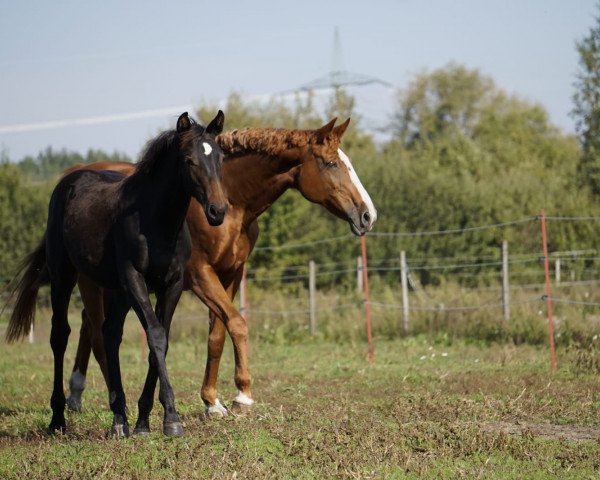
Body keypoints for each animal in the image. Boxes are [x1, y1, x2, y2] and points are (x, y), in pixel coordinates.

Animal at [5, 111, 227, 436]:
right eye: (189, 160)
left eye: (221, 157)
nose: (218, 210)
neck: (155, 220)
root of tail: (69, 181)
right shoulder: (134, 278)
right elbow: (155, 336)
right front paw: (172, 419)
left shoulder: (170, 285)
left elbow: (160, 340)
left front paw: (145, 420)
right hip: (65, 275)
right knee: (61, 335)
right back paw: (58, 418)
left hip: (117, 290)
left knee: (109, 333)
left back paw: (119, 419)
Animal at [64, 118, 376, 426]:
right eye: (331, 163)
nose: (368, 215)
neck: (233, 202)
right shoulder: (201, 276)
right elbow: (237, 324)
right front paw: (243, 397)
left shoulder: (231, 275)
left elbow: (217, 336)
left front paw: (212, 402)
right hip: (92, 284)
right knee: (97, 333)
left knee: (89, 328)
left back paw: (76, 396)